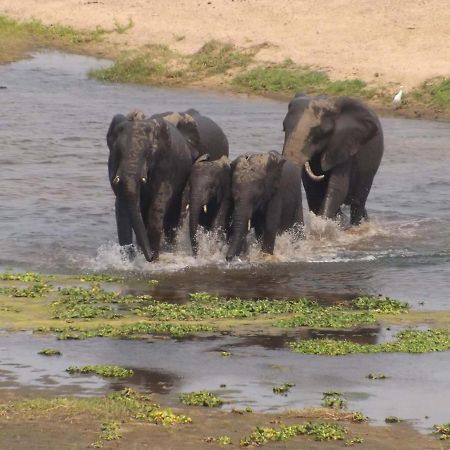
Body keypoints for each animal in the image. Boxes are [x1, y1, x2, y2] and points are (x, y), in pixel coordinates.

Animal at [107, 110, 192, 262]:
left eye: (149, 153)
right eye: (118, 151)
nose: (151, 257)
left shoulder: (167, 164)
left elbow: (160, 201)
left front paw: (153, 258)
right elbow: (122, 208)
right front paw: (129, 260)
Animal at [282, 93, 384, 225]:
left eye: (320, 133)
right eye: (284, 128)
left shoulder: (345, 144)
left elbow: (338, 188)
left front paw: (323, 224)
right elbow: (312, 188)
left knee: (358, 203)